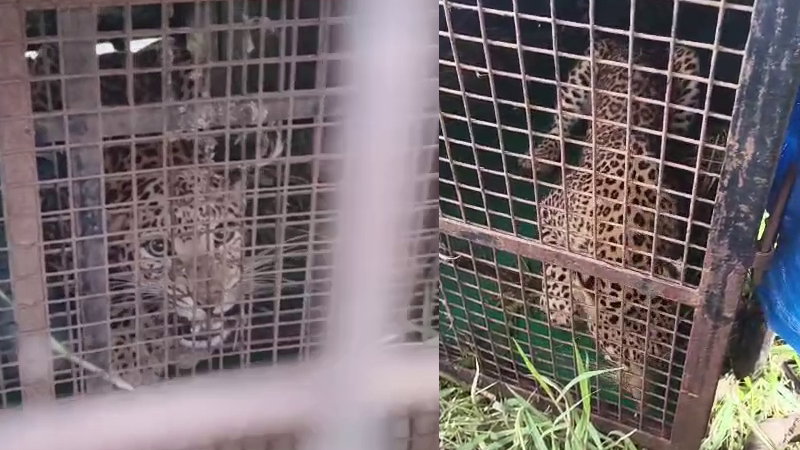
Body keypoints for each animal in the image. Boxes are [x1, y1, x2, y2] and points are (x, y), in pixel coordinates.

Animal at [519, 38, 703, 401]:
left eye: (661, 361)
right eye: (616, 357)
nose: (639, 400)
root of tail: (639, 42)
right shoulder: (550, 209)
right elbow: (556, 259)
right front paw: (559, 302)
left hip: (687, 66)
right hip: (582, 74)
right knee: (561, 120)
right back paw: (539, 157)